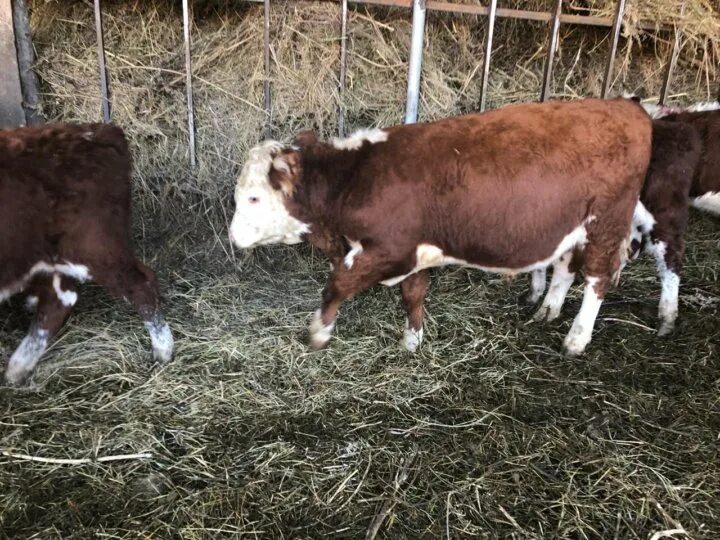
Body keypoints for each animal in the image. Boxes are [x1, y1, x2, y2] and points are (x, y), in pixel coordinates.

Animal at [0, 122, 174, 384]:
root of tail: (98, 130)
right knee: (60, 299)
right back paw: (19, 366)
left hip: (91, 246)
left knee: (140, 284)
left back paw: (163, 350)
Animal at [231, 99, 652, 356]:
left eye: (252, 198)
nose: (233, 237)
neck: (356, 177)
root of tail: (625, 106)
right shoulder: (415, 252)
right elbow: (413, 294)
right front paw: (412, 339)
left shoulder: (387, 249)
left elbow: (337, 285)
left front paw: (318, 330)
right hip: (570, 228)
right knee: (565, 267)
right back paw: (547, 310)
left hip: (606, 223)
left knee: (596, 279)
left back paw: (576, 338)